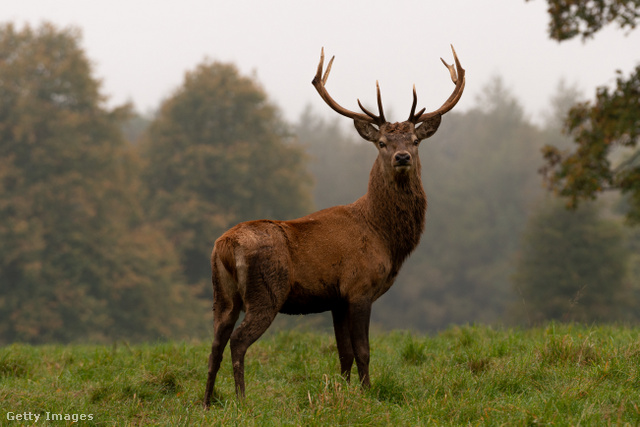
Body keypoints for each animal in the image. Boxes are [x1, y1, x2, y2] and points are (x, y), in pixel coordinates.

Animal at [205, 44, 464, 408]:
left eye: (415, 140)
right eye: (382, 143)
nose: (401, 157)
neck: (384, 236)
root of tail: (225, 246)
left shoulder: (336, 299)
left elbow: (344, 354)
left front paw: (343, 394)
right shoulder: (359, 287)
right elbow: (363, 350)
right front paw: (368, 395)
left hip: (222, 294)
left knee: (215, 342)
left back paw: (207, 401)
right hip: (265, 291)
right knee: (238, 341)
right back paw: (243, 401)